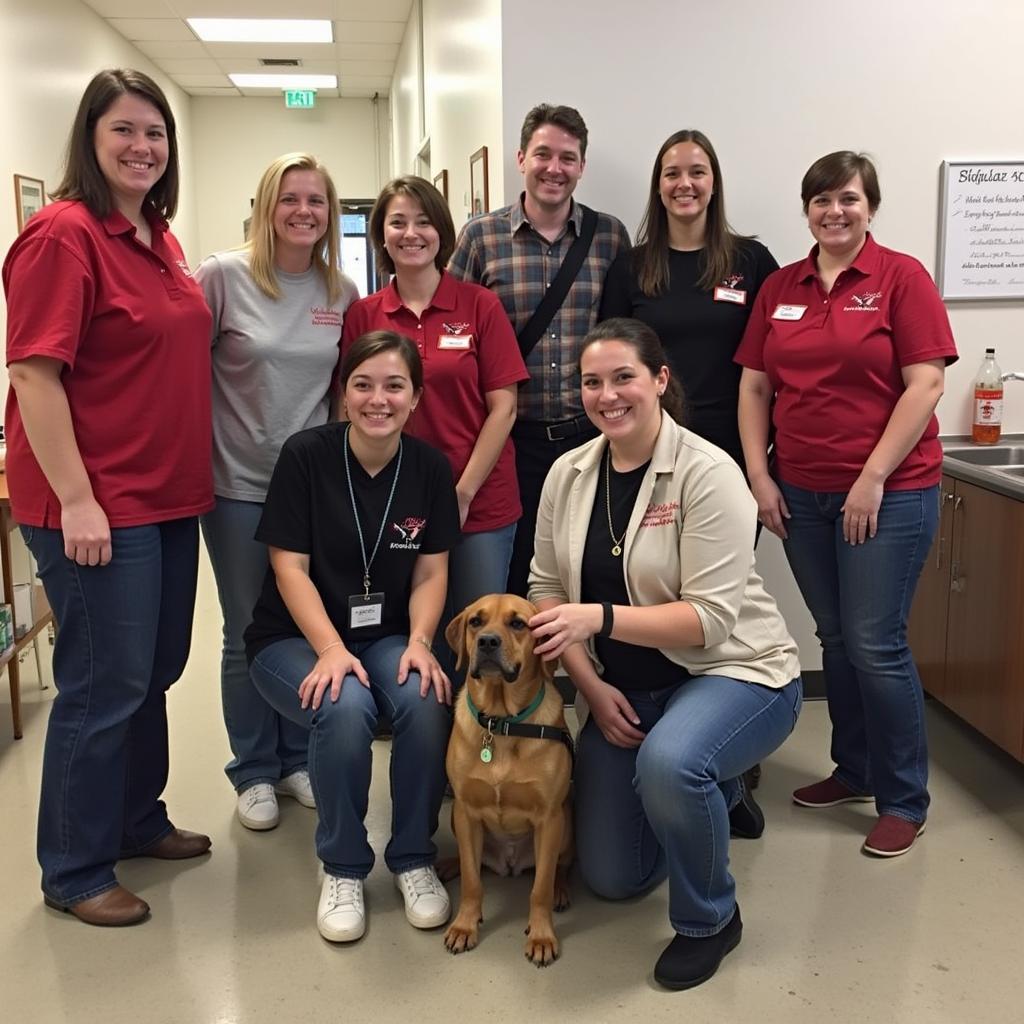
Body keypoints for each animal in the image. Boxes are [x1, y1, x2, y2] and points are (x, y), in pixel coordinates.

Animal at [444, 593, 577, 966]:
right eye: (476, 621)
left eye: (518, 623)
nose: (488, 642)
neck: (501, 723)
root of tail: (510, 864)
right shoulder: (465, 811)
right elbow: (472, 880)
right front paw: (465, 925)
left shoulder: (549, 818)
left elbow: (540, 887)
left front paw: (542, 935)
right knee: (471, 863)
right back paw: (448, 864)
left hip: (566, 826)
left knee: (560, 867)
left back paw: (562, 890)